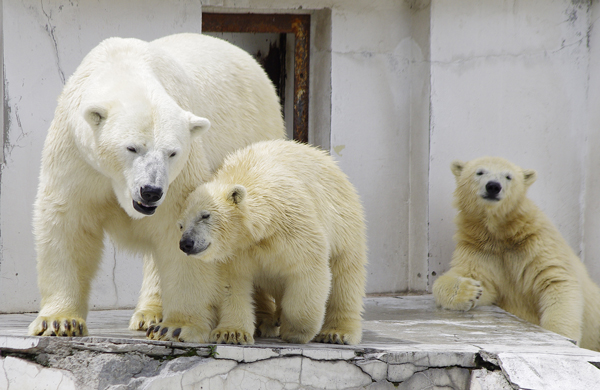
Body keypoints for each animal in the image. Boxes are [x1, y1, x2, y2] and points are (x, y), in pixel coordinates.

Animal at [29, 32, 288, 340]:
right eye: (132, 147)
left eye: (172, 152)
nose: (150, 191)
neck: (123, 64)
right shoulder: (76, 155)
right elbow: (68, 221)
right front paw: (59, 322)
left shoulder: (181, 176)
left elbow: (181, 228)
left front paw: (178, 326)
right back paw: (148, 314)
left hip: (256, 134)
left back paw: (262, 318)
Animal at [168, 140, 366, 344]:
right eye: (181, 225)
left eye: (205, 215)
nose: (186, 243)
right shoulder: (235, 252)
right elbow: (232, 284)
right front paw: (231, 333)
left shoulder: (294, 226)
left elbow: (308, 269)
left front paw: (297, 331)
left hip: (344, 224)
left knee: (345, 277)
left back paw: (336, 332)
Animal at [434, 157, 600, 352]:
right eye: (480, 172)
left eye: (508, 176)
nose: (493, 186)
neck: (501, 234)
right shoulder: (480, 249)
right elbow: (474, 279)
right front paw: (470, 291)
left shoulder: (537, 242)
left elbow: (556, 281)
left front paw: (562, 338)